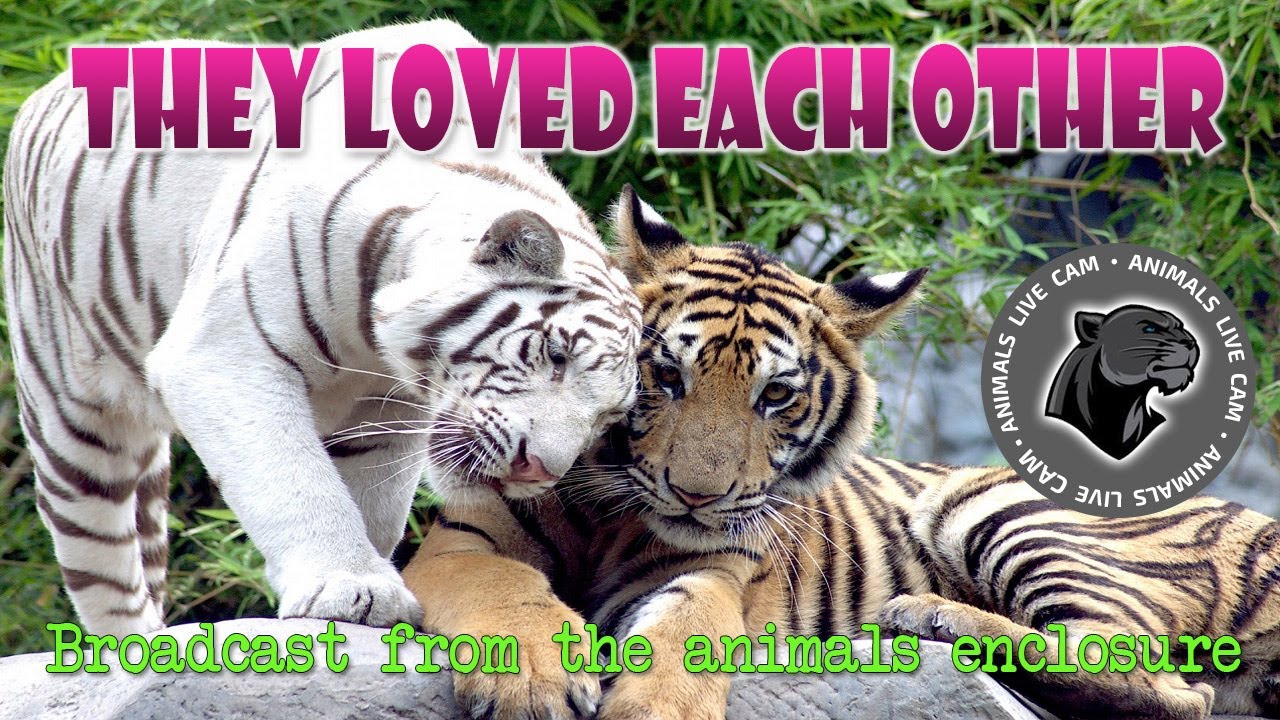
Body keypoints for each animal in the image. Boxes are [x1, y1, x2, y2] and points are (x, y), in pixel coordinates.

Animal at [3, 19, 639, 639]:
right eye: (555, 355)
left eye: (607, 418)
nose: (540, 470)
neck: (372, 341)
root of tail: (49, 82)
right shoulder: (225, 356)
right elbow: (297, 483)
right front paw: (349, 586)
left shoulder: (385, 416)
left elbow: (367, 502)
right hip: (73, 426)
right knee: (103, 569)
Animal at [404, 188, 1280, 720]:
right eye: (666, 375)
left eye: (776, 396)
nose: (696, 496)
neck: (611, 514)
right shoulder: (462, 543)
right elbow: (510, 593)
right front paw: (532, 686)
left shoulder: (712, 572)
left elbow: (688, 630)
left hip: (1000, 506)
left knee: (1159, 680)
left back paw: (928, 617)